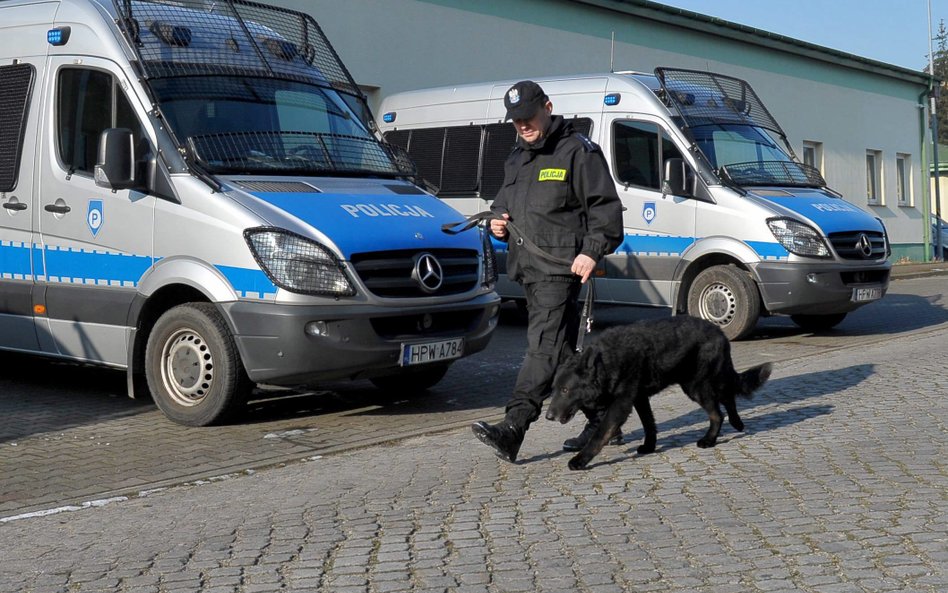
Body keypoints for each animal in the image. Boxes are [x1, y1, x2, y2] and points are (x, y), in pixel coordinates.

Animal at [548, 316, 772, 470]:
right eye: (555, 389)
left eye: (566, 390)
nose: (548, 416)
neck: (606, 361)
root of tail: (719, 331)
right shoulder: (639, 399)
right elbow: (649, 424)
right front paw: (649, 446)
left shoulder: (620, 406)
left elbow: (599, 434)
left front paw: (580, 460)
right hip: (701, 384)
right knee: (727, 396)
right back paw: (736, 423)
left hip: (697, 387)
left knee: (718, 412)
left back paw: (710, 440)